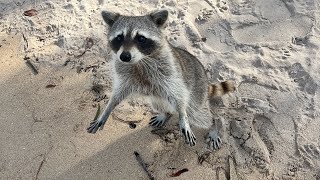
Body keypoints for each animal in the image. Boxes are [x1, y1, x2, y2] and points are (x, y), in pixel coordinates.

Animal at [87, 8, 235, 149]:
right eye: (119, 38)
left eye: (141, 38)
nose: (124, 56)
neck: (139, 61)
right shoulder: (124, 74)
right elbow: (118, 94)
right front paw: (106, 110)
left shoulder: (170, 72)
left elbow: (179, 94)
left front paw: (183, 117)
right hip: (158, 97)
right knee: (160, 104)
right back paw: (166, 113)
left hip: (197, 93)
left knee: (200, 115)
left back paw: (215, 125)